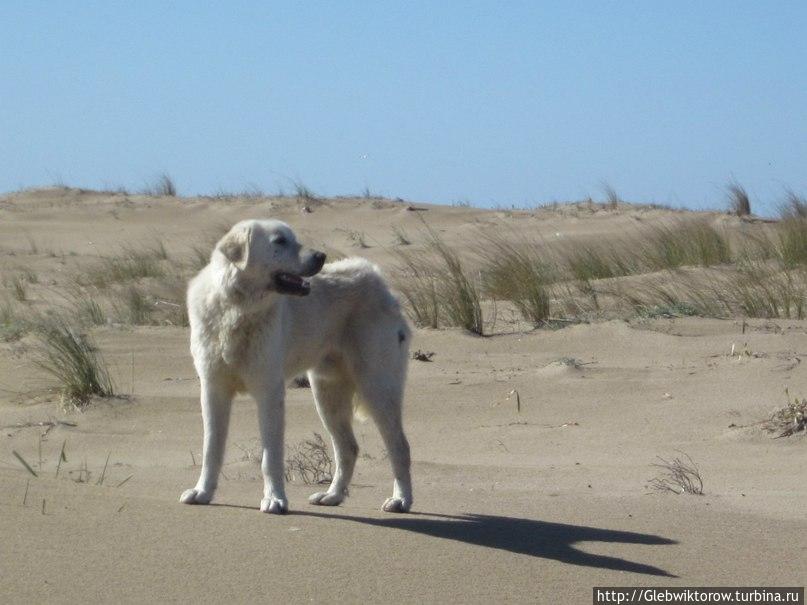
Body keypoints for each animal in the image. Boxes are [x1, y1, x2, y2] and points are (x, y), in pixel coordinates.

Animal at [179, 219, 414, 512]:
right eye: (280, 241)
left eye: (295, 238)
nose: (321, 256)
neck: (238, 309)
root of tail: (379, 283)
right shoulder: (213, 389)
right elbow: (211, 449)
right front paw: (202, 492)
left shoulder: (269, 392)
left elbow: (270, 457)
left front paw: (274, 499)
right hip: (327, 395)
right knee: (348, 449)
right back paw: (332, 496)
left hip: (377, 389)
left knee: (400, 448)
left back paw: (401, 499)